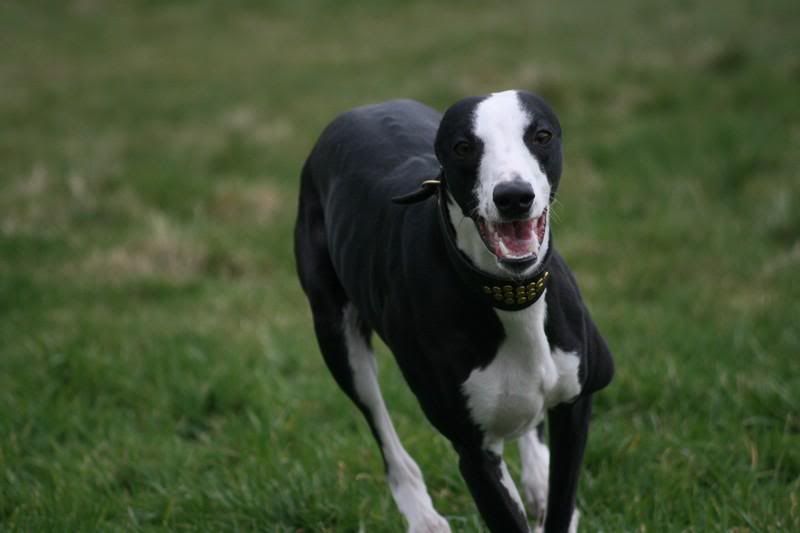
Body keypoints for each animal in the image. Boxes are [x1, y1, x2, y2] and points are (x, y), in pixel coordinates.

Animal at [294, 89, 612, 528]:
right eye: (463, 147)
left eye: (542, 135)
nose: (513, 197)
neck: (508, 296)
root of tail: (359, 110)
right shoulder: (473, 452)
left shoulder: (575, 406)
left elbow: (561, 508)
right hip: (337, 337)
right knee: (381, 425)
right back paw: (422, 515)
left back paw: (536, 478)